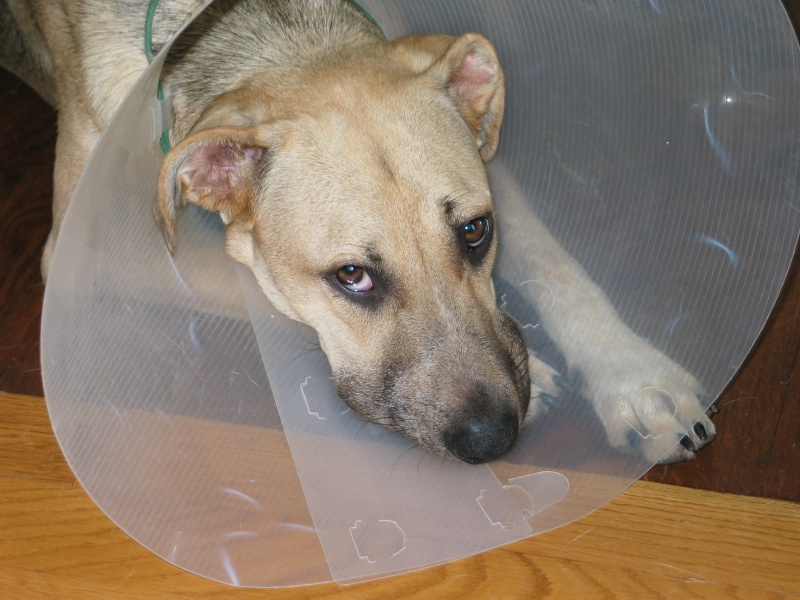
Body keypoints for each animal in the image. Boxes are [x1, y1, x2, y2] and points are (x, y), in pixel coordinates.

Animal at [0, 0, 712, 464]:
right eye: (351, 276)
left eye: (476, 232)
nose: (494, 440)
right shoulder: (88, 252)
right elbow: (257, 292)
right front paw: (541, 370)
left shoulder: (488, 168)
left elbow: (558, 265)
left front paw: (633, 375)